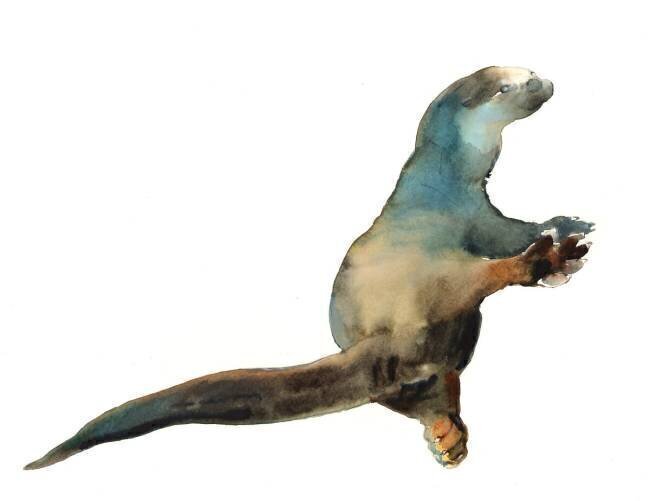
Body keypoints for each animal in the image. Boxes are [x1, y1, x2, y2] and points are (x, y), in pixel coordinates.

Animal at [25, 66, 593, 470]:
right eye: (510, 85)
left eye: (529, 72)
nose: (545, 79)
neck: (444, 182)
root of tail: (377, 340)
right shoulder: (468, 220)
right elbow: (502, 243)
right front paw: (552, 242)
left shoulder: (483, 211)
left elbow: (522, 223)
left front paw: (565, 221)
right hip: (427, 281)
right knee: (473, 282)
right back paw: (543, 262)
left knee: (424, 390)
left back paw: (447, 436)